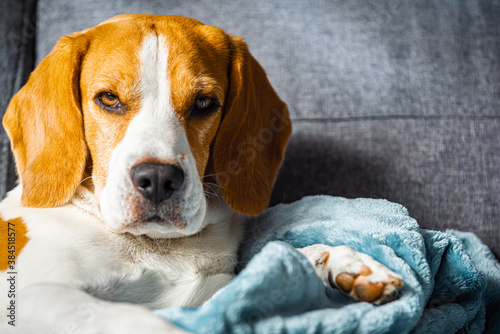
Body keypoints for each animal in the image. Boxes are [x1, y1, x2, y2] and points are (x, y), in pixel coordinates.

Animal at [0, 15, 404, 332]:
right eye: (108, 98)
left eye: (204, 103)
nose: (158, 179)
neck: (157, 250)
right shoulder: (40, 298)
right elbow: (140, 321)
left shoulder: (210, 294)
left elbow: (280, 259)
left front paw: (346, 262)